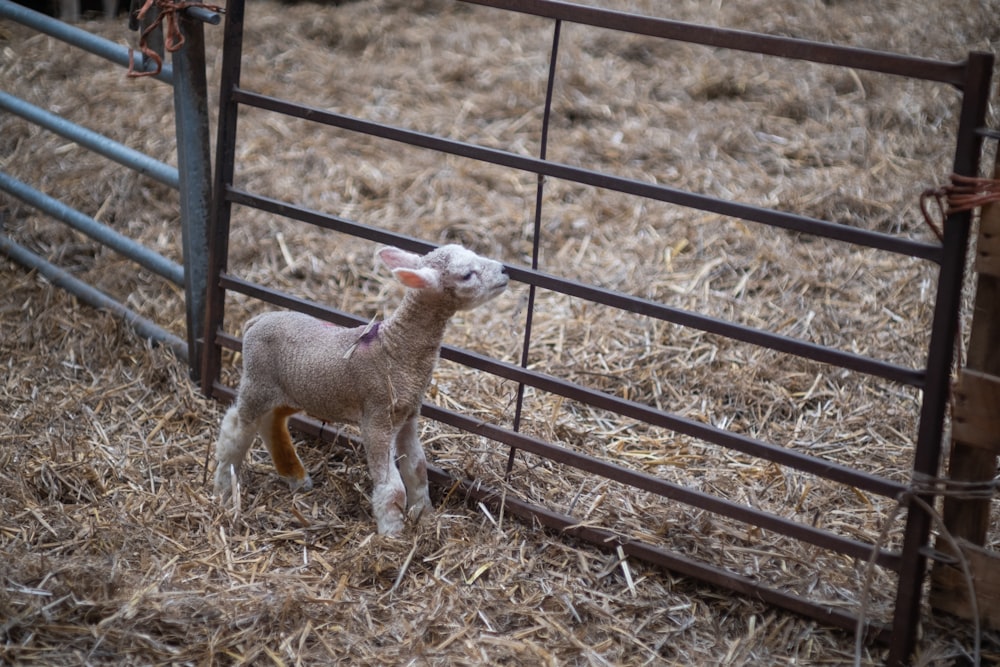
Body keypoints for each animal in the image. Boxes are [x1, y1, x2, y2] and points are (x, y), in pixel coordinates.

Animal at [211, 247, 508, 536]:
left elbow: (418, 469)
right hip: (257, 382)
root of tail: (257, 320)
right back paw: (223, 487)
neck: (396, 347)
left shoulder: (408, 414)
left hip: (294, 389)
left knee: (271, 422)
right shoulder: (377, 419)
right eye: (467, 275)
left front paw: (425, 517)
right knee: (235, 428)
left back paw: (296, 478)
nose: (505, 270)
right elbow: (392, 487)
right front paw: (392, 534)